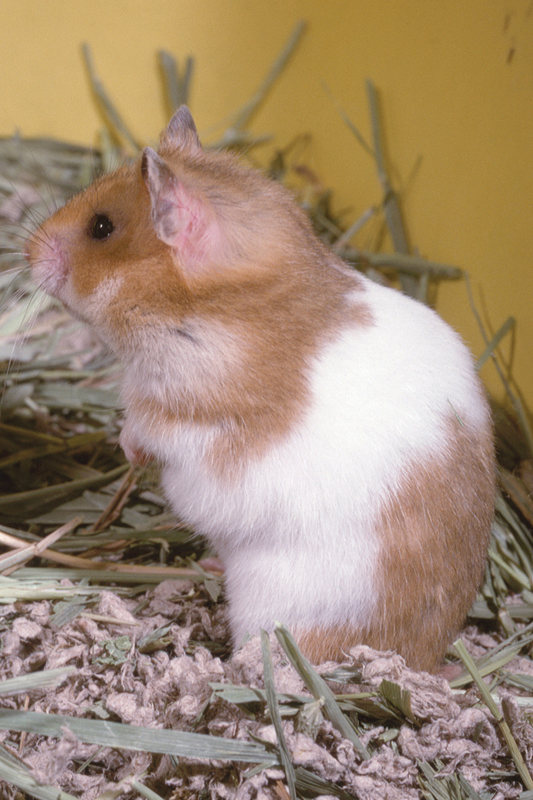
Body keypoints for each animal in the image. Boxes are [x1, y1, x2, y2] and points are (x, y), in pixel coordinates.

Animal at [26, 104, 494, 668]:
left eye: (101, 227)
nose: (26, 250)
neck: (206, 309)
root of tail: (425, 658)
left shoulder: (186, 417)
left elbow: (145, 430)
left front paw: (128, 451)